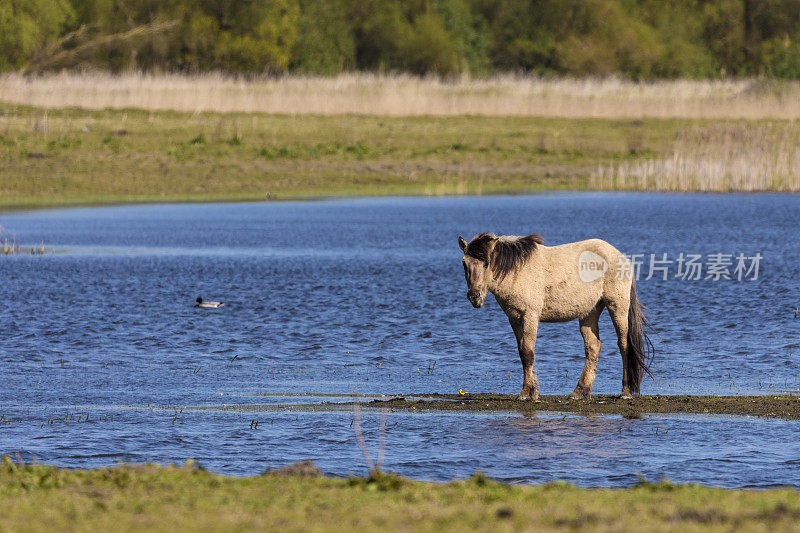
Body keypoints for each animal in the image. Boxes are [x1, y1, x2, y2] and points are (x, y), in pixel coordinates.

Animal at [460, 233, 652, 400]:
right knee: (593, 347)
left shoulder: (530, 316)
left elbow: (528, 352)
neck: (518, 271)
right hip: (590, 312)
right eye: (464, 264)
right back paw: (579, 392)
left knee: (624, 345)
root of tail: (621, 257)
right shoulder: (514, 318)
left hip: (617, 307)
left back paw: (625, 391)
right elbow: (521, 353)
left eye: (486, 264)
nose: (474, 296)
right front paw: (528, 391)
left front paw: (527, 393)